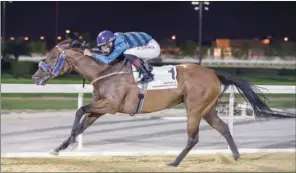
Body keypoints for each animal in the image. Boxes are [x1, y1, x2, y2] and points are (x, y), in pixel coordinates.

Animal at [31, 39, 270, 167]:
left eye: (51, 57)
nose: (35, 77)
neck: (105, 72)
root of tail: (213, 72)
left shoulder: (111, 106)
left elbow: (79, 111)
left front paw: (69, 142)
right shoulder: (100, 109)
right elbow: (82, 123)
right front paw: (60, 147)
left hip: (194, 108)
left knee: (193, 138)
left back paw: (174, 162)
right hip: (208, 109)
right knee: (224, 128)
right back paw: (236, 157)